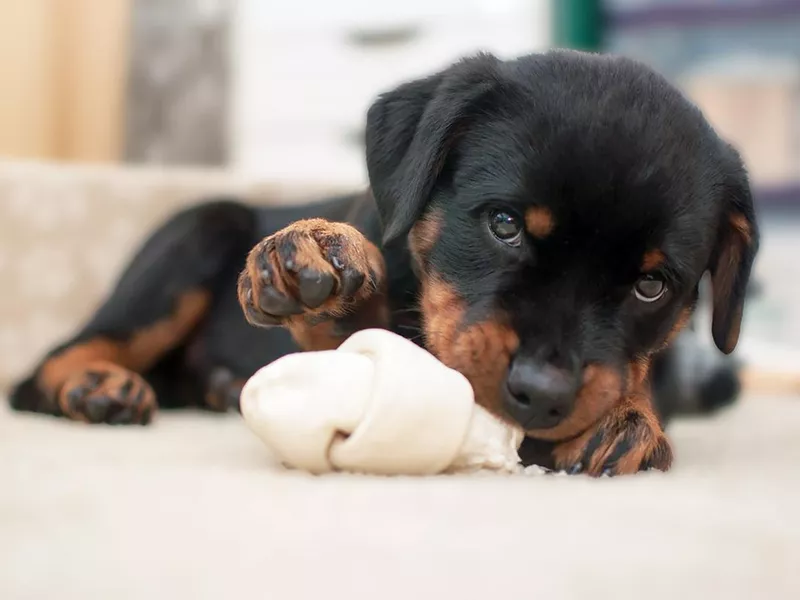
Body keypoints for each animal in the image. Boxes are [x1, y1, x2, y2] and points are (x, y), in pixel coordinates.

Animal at [7, 50, 756, 478]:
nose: (543, 393)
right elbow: (351, 336)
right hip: (193, 239)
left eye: (652, 285)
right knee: (49, 363)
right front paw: (320, 274)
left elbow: (640, 379)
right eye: (505, 224)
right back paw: (97, 386)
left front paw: (626, 418)